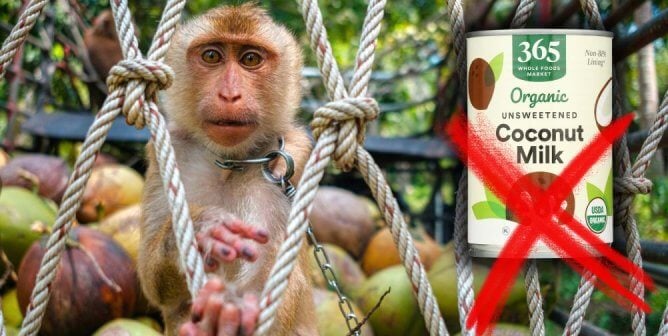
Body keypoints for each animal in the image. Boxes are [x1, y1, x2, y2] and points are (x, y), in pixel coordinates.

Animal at [138, 3, 316, 336]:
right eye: (211, 56)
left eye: (250, 59)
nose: (230, 95)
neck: (228, 162)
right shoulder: (169, 149)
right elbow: (155, 286)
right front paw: (202, 229)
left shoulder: (291, 157)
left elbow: (274, 274)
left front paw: (234, 306)